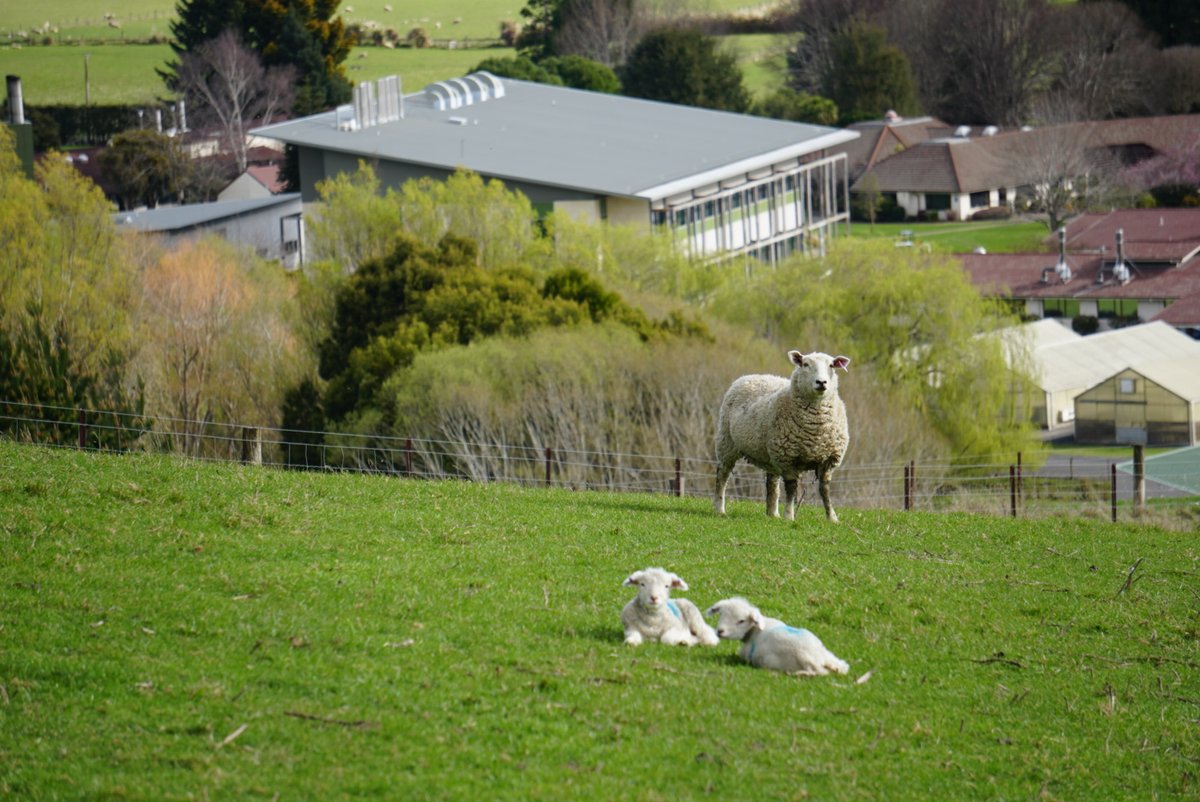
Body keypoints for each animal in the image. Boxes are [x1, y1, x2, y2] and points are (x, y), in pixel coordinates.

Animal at [700, 597, 854, 672]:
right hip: (825, 651)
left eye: (741, 621)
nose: (720, 631)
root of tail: (809, 658)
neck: (755, 631)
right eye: (721, 614)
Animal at [710, 348, 854, 521]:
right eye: (805, 364)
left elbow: (825, 490)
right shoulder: (788, 458)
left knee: (772, 482)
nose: (821, 382)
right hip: (727, 442)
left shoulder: (828, 460)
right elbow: (792, 489)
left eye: (832, 365)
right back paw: (719, 508)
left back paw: (773, 514)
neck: (815, 428)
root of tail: (750, 376)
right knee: (722, 475)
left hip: (770, 453)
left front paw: (832, 518)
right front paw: (789, 516)